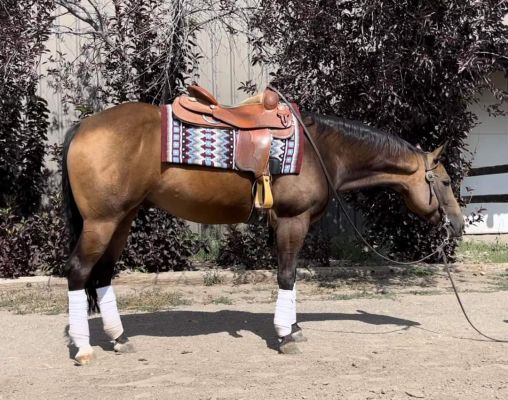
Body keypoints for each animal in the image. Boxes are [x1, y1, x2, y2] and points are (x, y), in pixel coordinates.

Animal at [61, 87, 462, 366]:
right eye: (444, 181)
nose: (457, 224)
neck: (322, 151)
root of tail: (84, 125)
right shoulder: (291, 220)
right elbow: (287, 275)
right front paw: (286, 336)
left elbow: (291, 275)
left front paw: (294, 328)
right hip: (102, 221)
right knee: (78, 272)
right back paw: (83, 348)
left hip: (122, 218)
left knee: (103, 275)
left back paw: (119, 338)